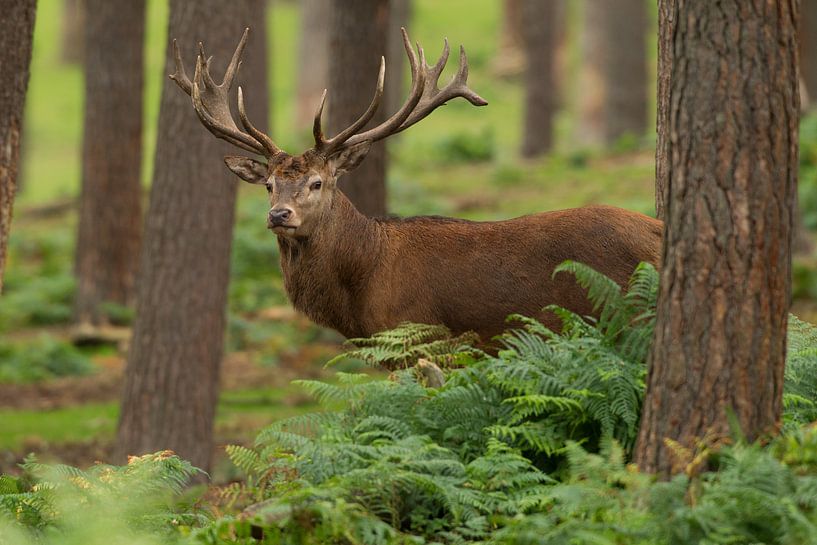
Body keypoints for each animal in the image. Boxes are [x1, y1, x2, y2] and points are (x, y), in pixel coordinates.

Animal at [169, 28, 663, 344]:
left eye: (317, 182)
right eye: (269, 185)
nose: (279, 215)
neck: (364, 285)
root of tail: (658, 231)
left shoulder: (421, 336)